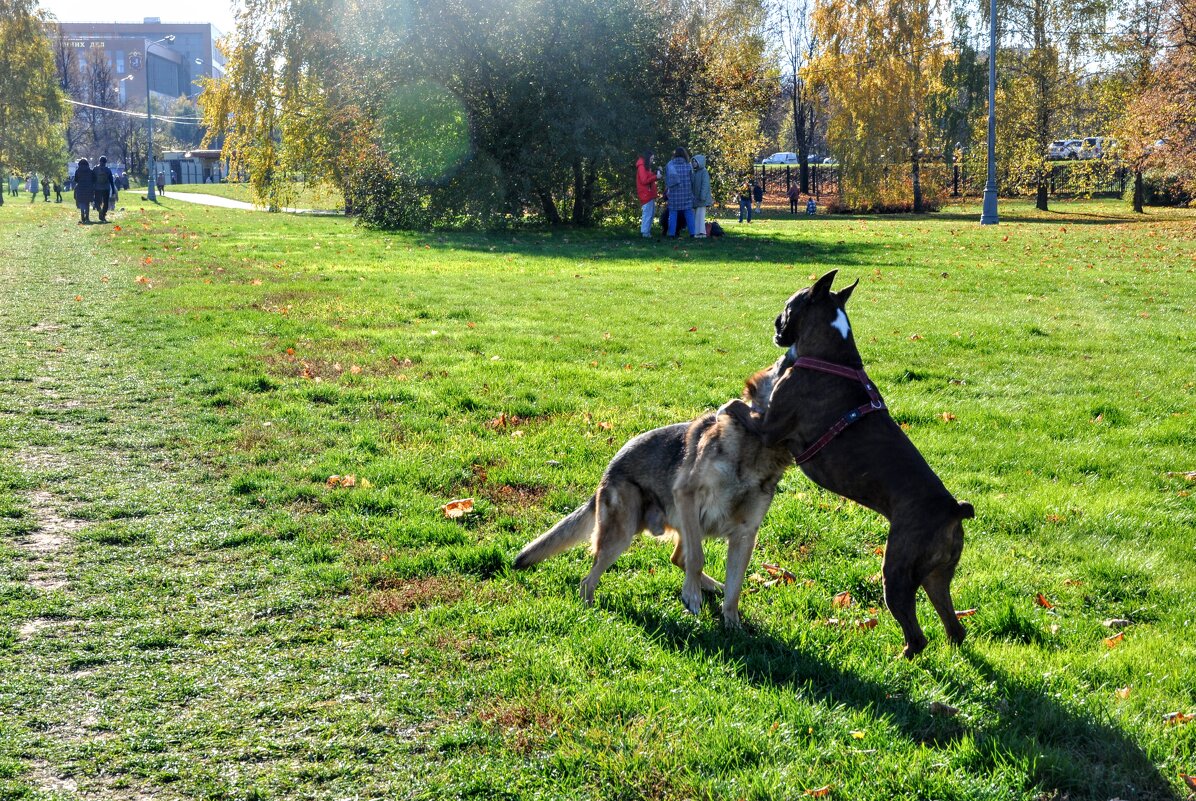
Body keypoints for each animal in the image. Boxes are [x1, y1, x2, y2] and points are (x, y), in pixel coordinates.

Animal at [511, 358, 798, 626]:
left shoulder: (745, 534)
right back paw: (591, 612)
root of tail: (606, 474)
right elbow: (697, 558)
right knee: (588, 580)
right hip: (623, 534)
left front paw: (732, 624)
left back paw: (712, 586)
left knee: (677, 557)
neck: (754, 450)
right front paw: (692, 596)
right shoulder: (687, 496)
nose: (791, 356)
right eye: (777, 366)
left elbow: (735, 586)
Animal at [717, 271, 971, 659]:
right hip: (936, 575)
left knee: (916, 635)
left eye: (788, 307)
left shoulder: (769, 428)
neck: (830, 355)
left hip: (897, 571)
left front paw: (722, 408)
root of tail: (953, 509)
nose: (775, 323)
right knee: (954, 626)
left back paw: (897, 660)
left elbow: (736, 405)